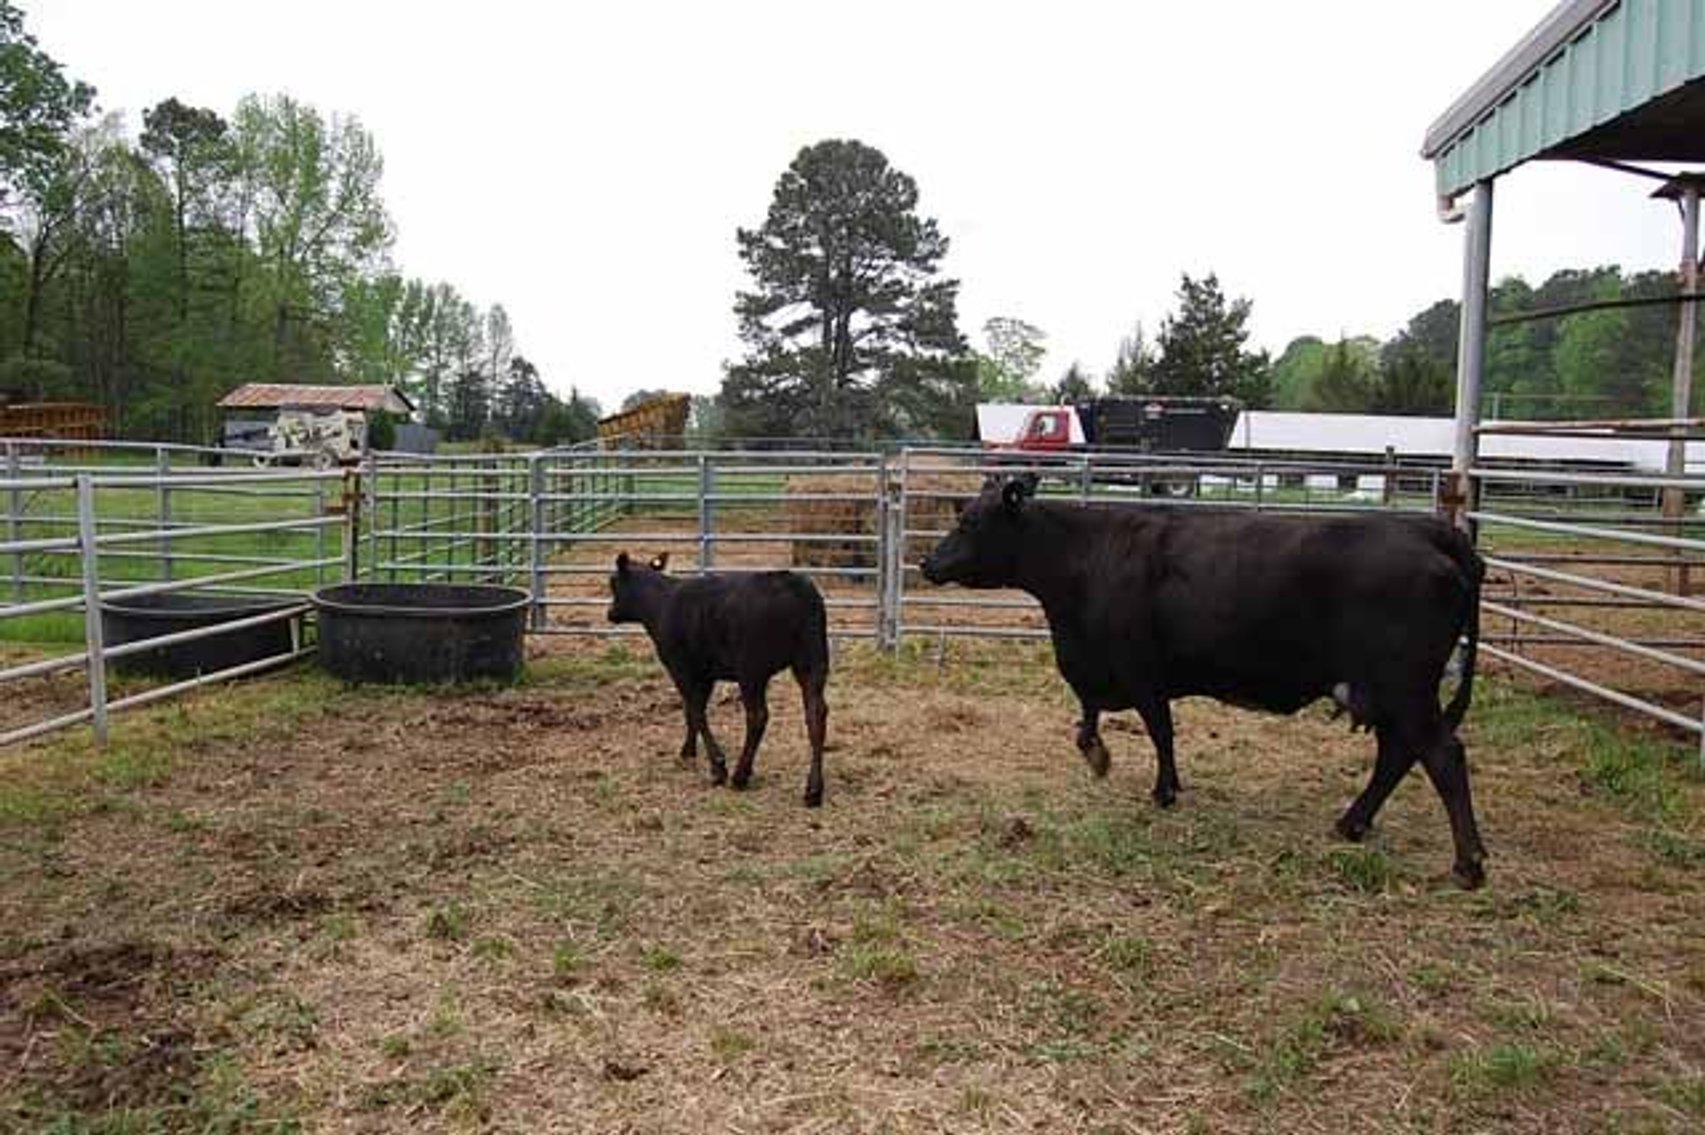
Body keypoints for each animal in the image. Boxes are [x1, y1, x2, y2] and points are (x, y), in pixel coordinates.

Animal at [607, 552, 831, 807]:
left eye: (613, 582)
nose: (610, 613)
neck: (660, 602)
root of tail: (794, 585)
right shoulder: (706, 674)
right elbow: (692, 712)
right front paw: (688, 751)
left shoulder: (680, 667)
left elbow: (695, 711)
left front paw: (717, 766)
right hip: (812, 661)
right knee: (816, 714)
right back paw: (813, 790)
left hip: (752, 670)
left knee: (758, 716)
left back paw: (740, 776)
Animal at [919, 475, 1489, 888]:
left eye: (970, 521)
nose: (927, 563)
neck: (1087, 557)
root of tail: (1432, 531)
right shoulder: (1100, 663)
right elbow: (1089, 709)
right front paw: (1097, 753)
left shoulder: (1139, 667)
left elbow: (1159, 730)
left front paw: (1163, 789)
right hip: (1389, 693)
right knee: (1399, 754)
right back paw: (1353, 822)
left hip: (1404, 687)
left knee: (1441, 755)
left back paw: (1467, 863)